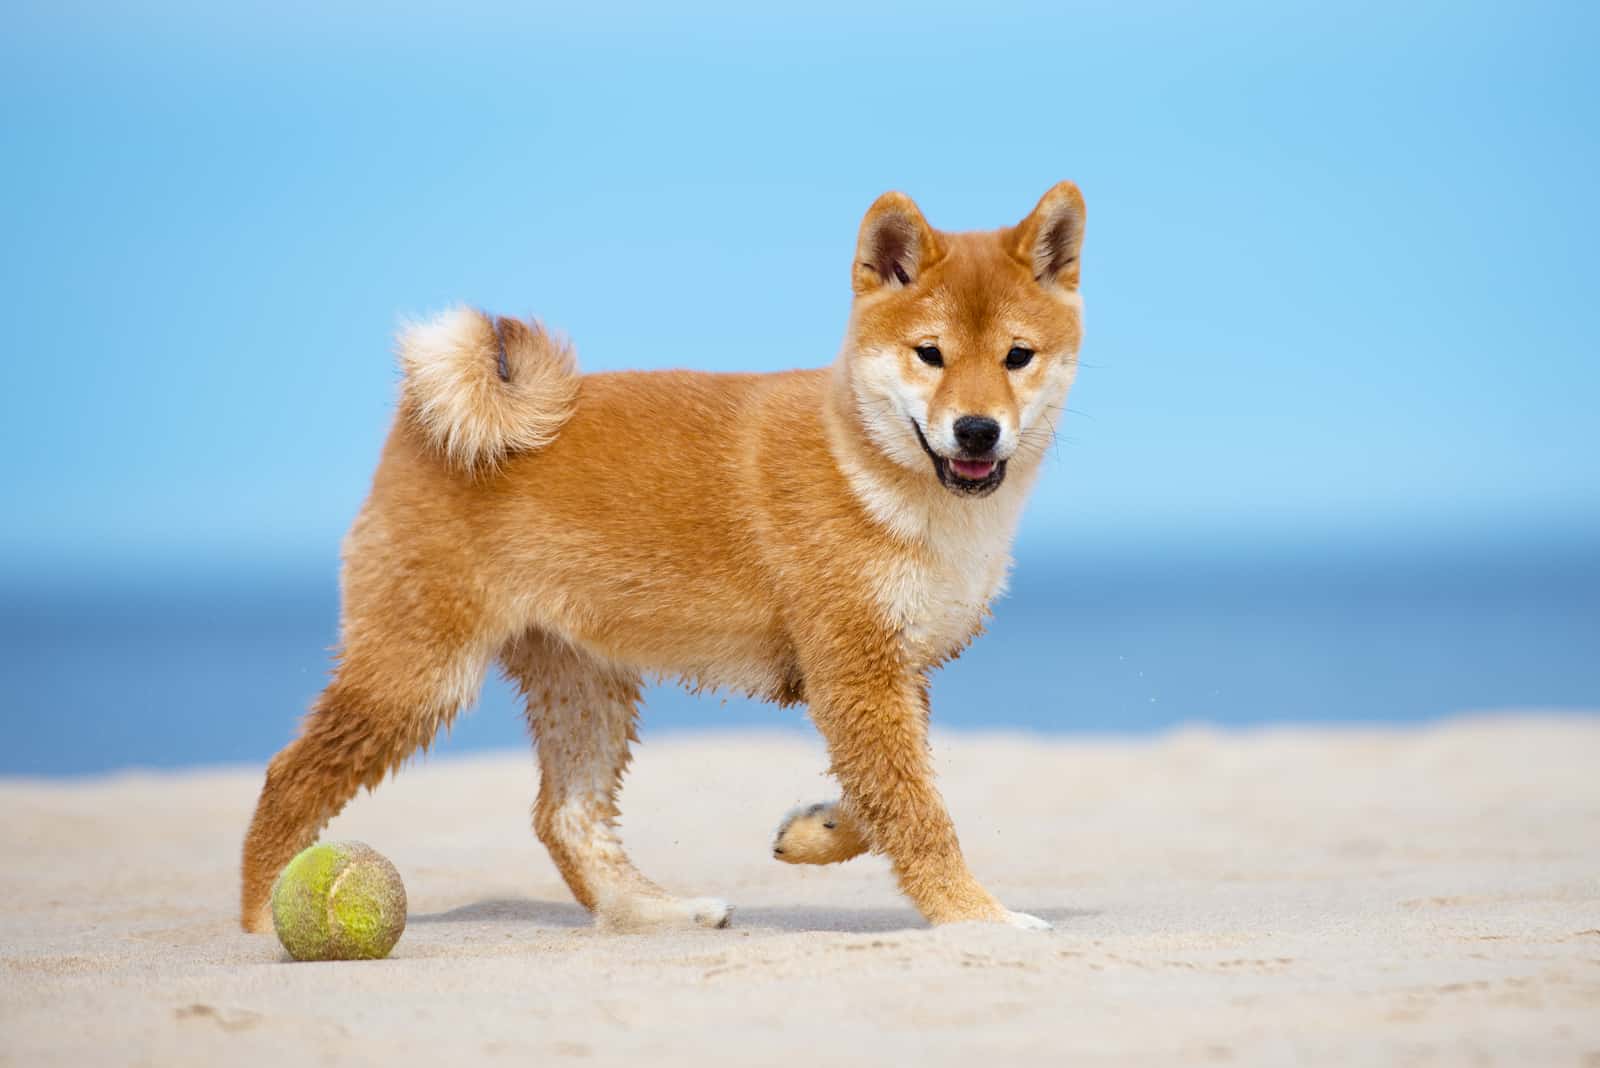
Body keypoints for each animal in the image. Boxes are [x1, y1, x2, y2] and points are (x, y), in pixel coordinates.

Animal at [240, 185, 1088, 933]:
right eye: (929, 355)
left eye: (1017, 356)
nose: (977, 430)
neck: (873, 468)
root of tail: (421, 425)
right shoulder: (855, 667)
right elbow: (917, 815)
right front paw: (978, 917)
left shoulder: (889, 669)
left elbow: (884, 798)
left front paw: (815, 831)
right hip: (419, 674)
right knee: (291, 775)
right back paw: (258, 915)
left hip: (582, 680)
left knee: (565, 816)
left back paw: (655, 913)